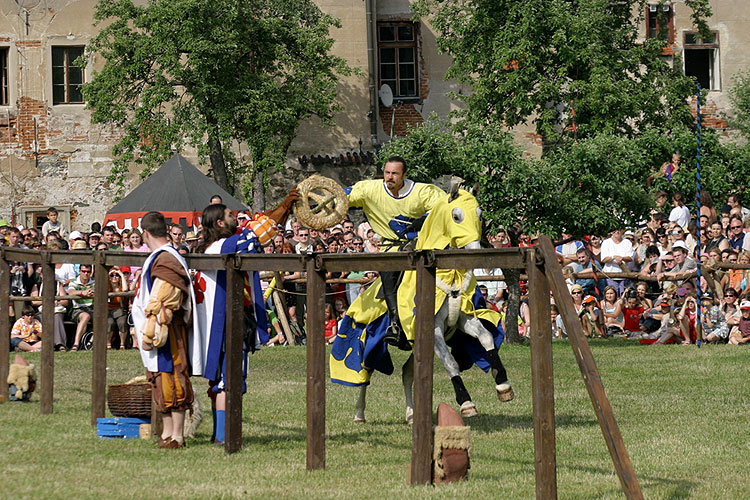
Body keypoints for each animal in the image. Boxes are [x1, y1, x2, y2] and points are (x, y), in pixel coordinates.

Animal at [332, 184, 516, 422]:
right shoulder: (433, 328)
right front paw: (466, 402)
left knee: (406, 372)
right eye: (456, 216)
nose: (475, 253)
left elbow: (486, 337)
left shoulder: (464, 319)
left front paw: (503, 385)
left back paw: (411, 414)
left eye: (480, 214)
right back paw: (359, 413)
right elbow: (451, 362)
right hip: (367, 339)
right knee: (365, 371)